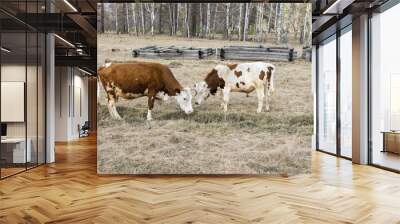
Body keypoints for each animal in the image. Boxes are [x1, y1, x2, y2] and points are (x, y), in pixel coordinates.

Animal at [98, 60, 276, 121]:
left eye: (193, 96)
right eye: (186, 98)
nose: (191, 110)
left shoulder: (225, 88)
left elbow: (224, 99)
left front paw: (223, 109)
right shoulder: (152, 91)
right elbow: (150, 105)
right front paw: (149, 118)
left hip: (263, 87)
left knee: (264, 98)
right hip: (111, 92)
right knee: (110, 104)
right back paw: (117, 117)